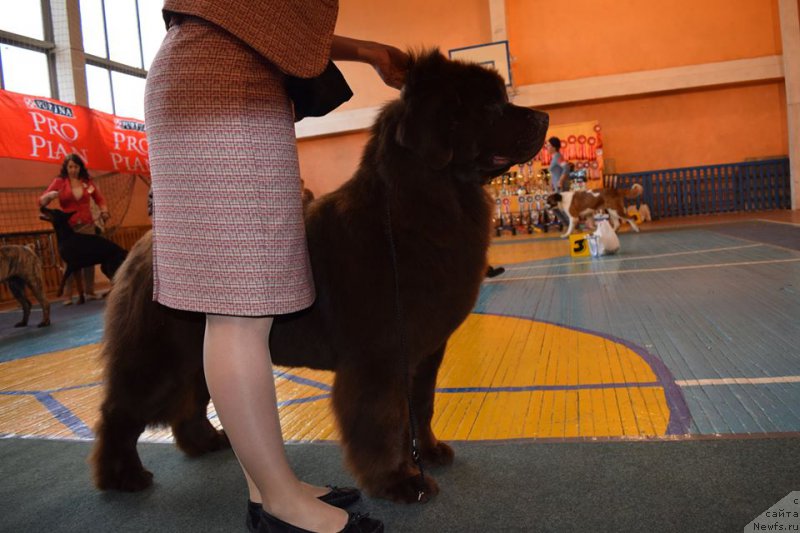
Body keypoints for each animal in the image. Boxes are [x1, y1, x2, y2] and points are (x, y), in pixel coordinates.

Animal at [89, 48, 552, 498]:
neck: (418, 208)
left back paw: (204, 442)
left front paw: (430, 452)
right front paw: (398, 481)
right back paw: (122, 476)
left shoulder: (425, 351)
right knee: (119, 412)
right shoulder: (379, 356)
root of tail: (142, 245)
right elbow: (384, 419)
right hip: (156, 354)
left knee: (191, 399)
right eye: (490, 106)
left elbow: (420, 406)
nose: (544, 118)